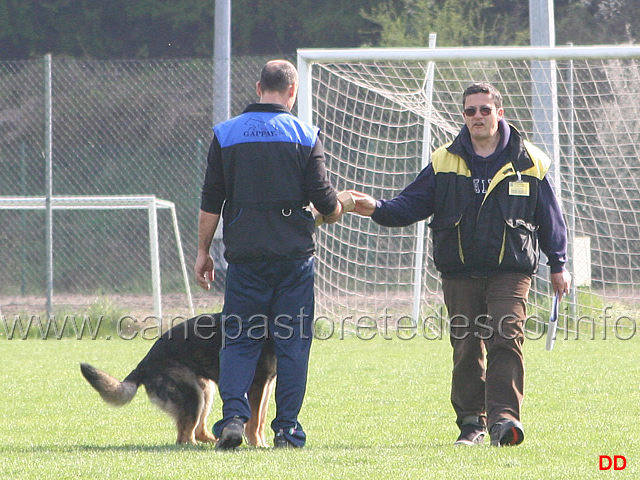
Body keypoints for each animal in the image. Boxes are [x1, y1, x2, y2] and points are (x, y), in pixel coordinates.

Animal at [79, 316, 276, 446]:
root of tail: (144, 362)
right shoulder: (258, 384)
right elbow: (255, 421)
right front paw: (257, 445)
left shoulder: (267, 384)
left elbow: (261, 419)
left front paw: (262, 443)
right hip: (193, 396)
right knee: (184, 438)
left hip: (205, 390)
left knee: (196, 431)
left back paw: (216, 440)